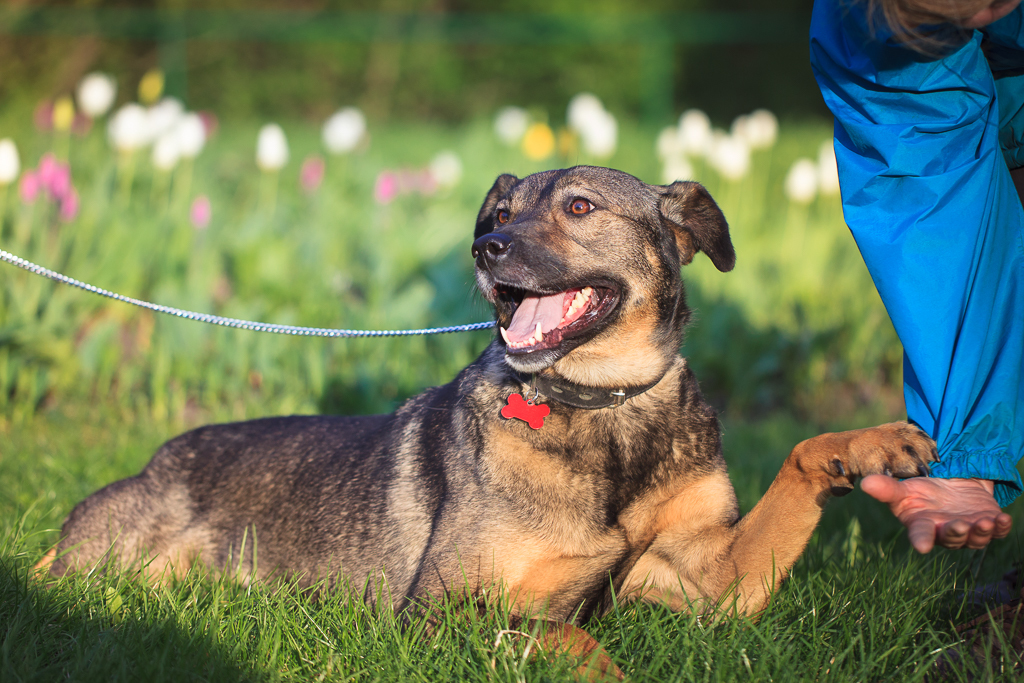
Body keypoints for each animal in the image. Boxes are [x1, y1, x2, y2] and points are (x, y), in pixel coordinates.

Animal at [39, 165, 937, 679]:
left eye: (579, 206)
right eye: (498, 210)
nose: (486, 248)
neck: (602, 406)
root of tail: (157, 458)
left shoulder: (711, 581)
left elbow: (800, 455)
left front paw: (873, 444)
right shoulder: (442, 608)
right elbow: (572, 638)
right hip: (113, 563)